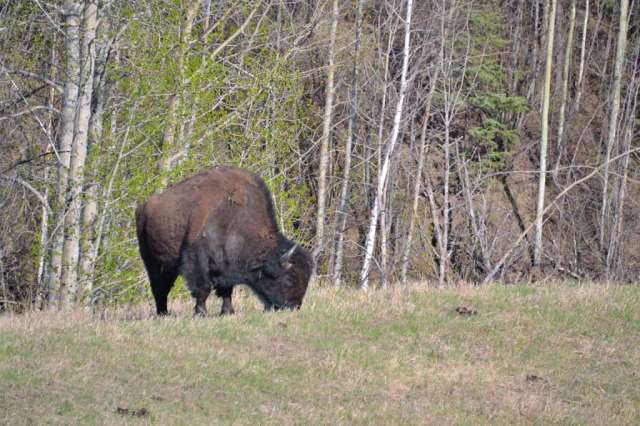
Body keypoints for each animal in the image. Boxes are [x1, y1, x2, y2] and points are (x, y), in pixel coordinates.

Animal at [135, 166, 313, 316]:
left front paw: (228, 312)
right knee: (159, 288)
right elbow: (202, 289)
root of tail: (144, 206)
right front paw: (201, 314)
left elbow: (226, 290)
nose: (294, 306)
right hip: (153, 261)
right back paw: (163, 313)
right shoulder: (198, 262)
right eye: (289, 279)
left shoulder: (226, 266)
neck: (236, 220)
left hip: (168, 266)